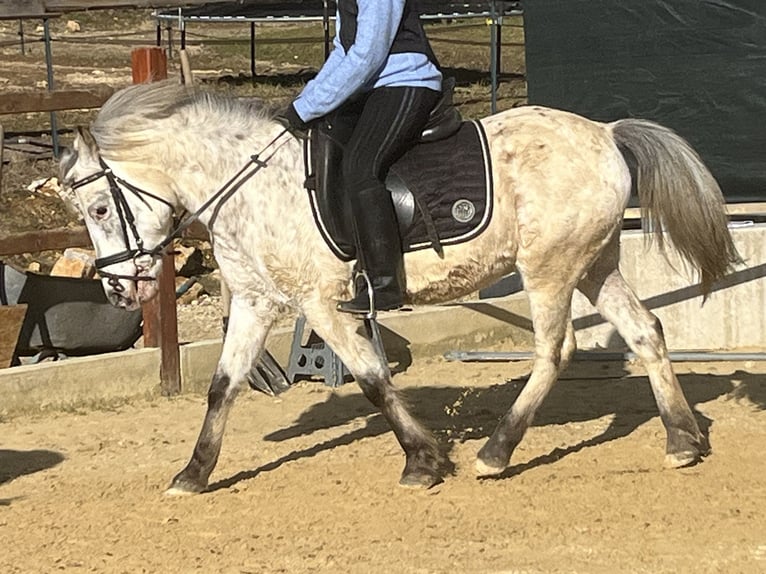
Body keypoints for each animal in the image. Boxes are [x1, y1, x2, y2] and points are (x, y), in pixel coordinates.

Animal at [59, 80, 740, 493]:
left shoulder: (321, 305)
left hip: (549, 269)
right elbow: (223, 387)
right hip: (594, 264)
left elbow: (371, 379)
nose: (118, 291)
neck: (248, 182)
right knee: (646, 332)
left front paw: (425, 460)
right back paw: (683, 439)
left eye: (99, 208)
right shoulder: (255, 301)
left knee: (555, 351)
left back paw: (497, 452)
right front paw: (193, 474)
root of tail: (604, 132)